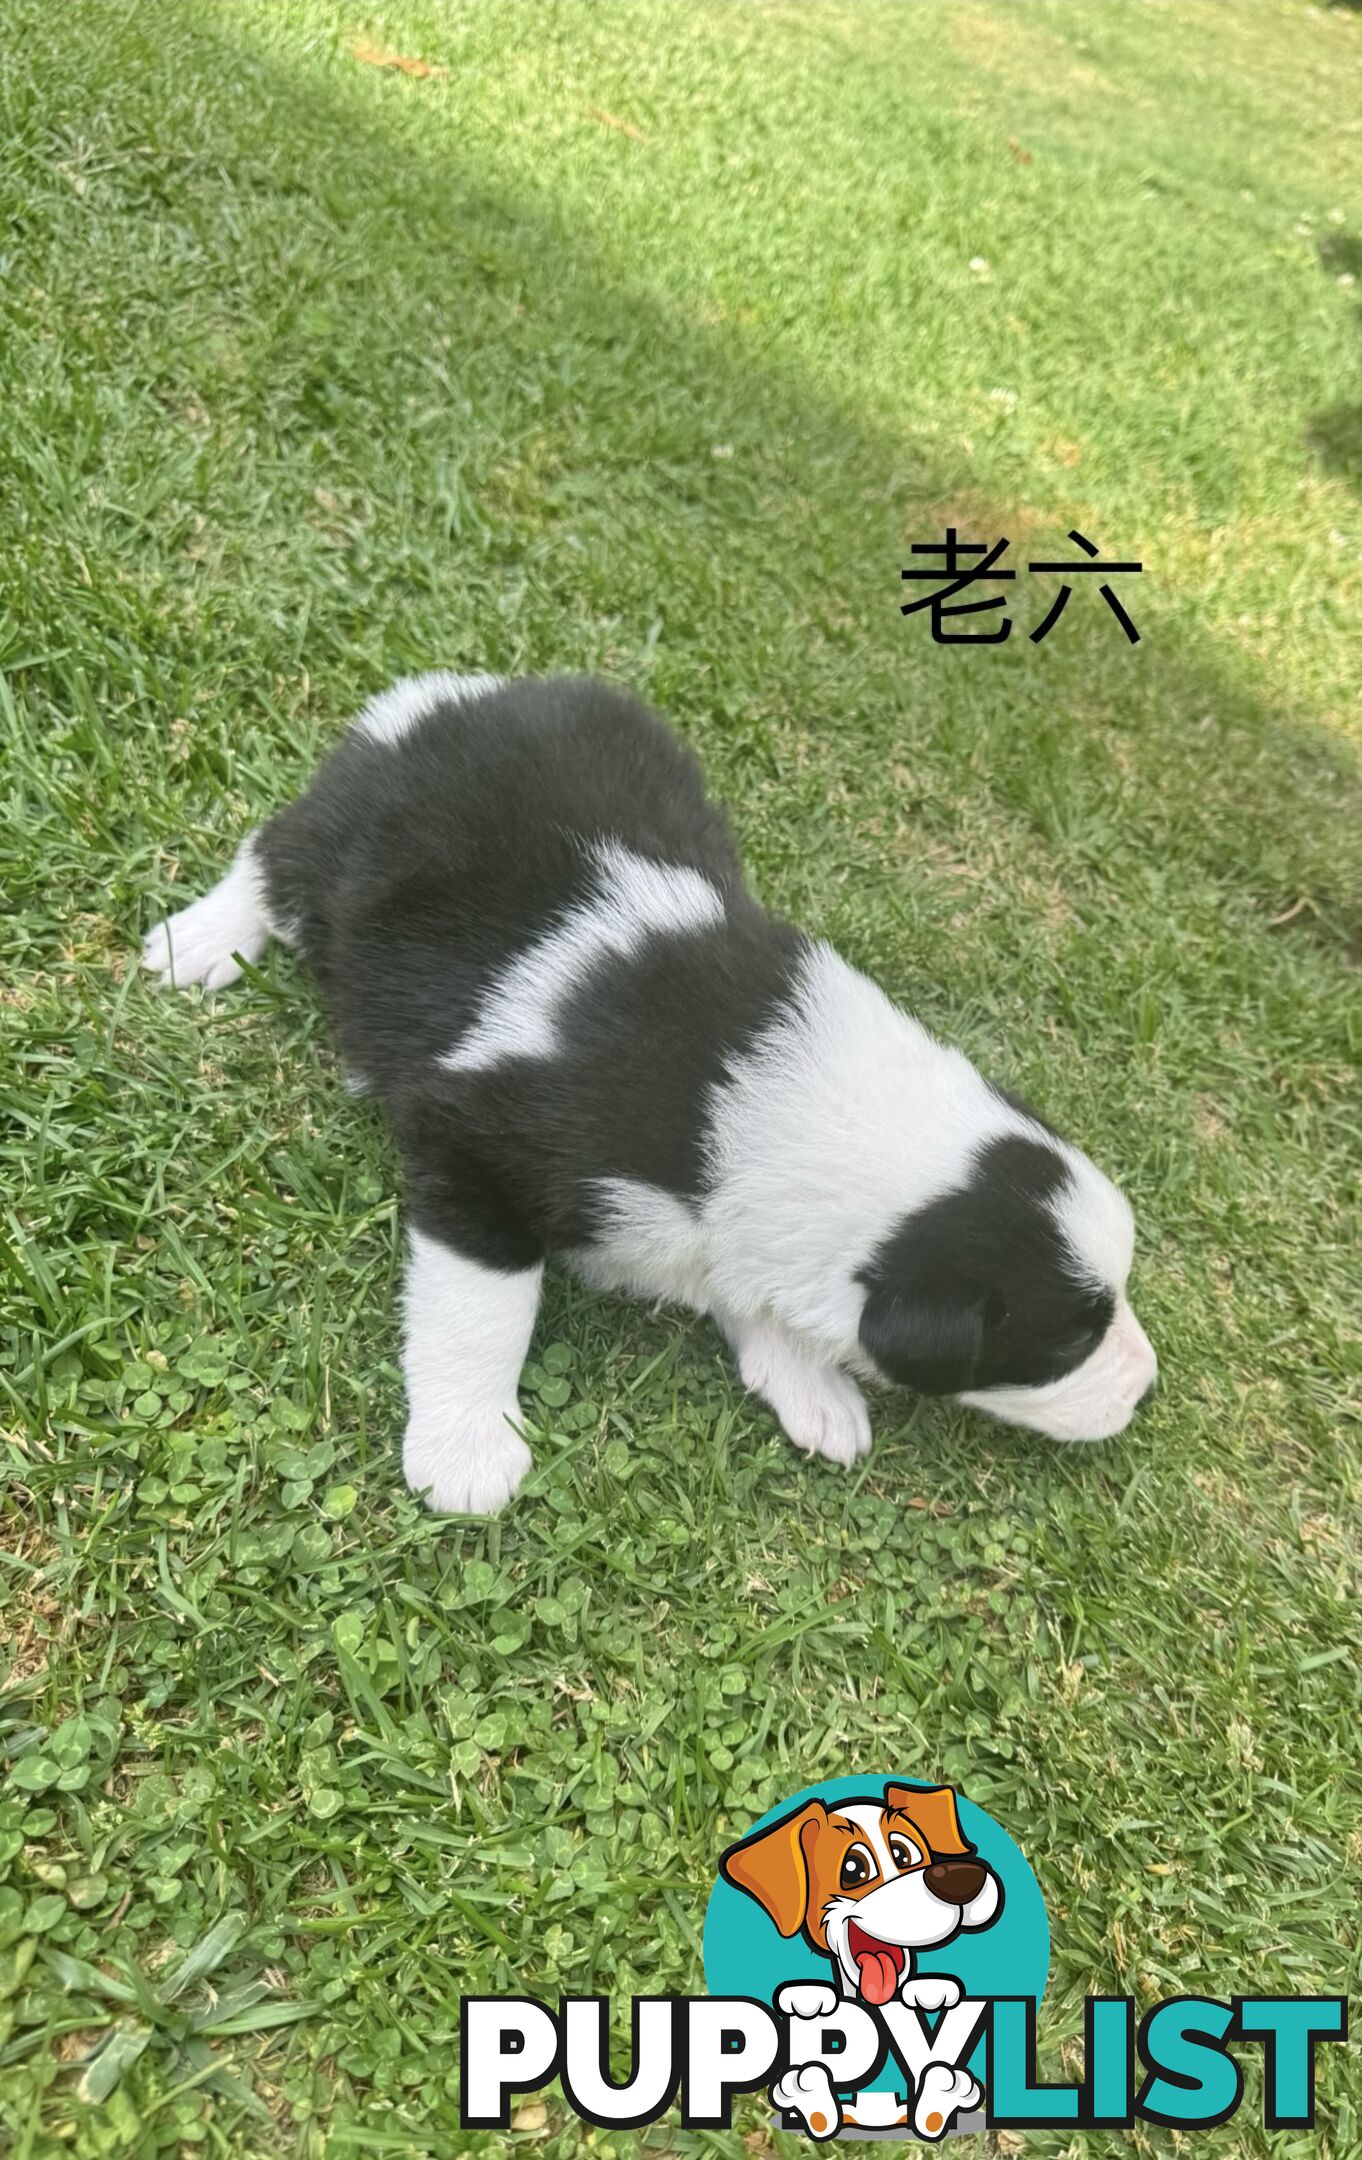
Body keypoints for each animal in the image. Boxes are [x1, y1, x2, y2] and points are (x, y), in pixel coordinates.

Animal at [143, 682, 1156, 1512]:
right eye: (1066, 1344)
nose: (1145, 1386)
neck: (774, 1093)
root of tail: (452, 696)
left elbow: (743, 1284)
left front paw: (809, 1382)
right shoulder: (481, 1155)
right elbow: (481, 1308)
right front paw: (467, 1449)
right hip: (343, 851)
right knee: (269, 857)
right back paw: (199, 942)